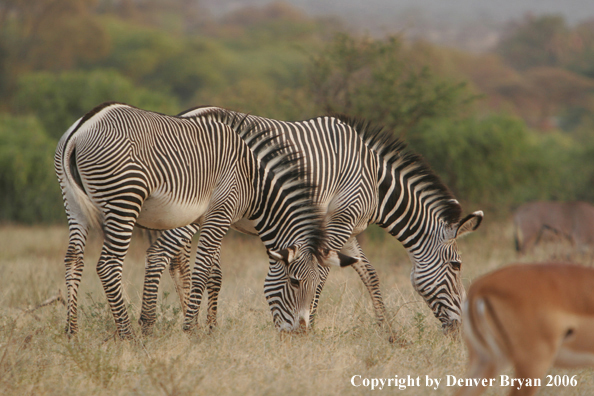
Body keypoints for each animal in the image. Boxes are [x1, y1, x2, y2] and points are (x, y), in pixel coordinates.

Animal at [53, 101, 350, 338]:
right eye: (294, 282)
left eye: (315, 284)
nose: (302, 332)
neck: (252, 179)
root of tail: (83, 126)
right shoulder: (220, 214)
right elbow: (202, 271)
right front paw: (192, 330)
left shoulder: (204, 217)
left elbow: (200, 270)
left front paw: (189, 325)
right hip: (124, 199)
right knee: (108, 264)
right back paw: (127, 335)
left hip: (72, 201)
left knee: (73, 259)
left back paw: (72, 332)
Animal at [139, 108, 480, 338]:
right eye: (457, 265)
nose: (461, 329)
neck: (375, 181)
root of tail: (184, 114)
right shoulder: (340, 220)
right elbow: (325, 272)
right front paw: (311, 324)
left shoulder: (347, 227)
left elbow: (369, 274)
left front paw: (388, 333)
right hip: (193, 206)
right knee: (159, 256)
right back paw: (153, 326)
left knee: (181, 262)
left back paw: (194, 323)